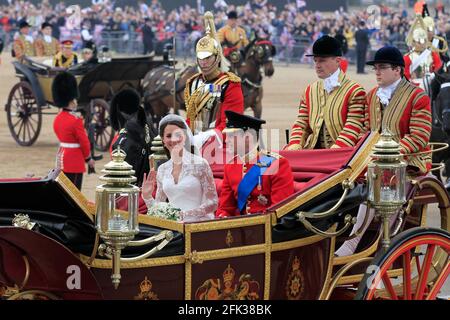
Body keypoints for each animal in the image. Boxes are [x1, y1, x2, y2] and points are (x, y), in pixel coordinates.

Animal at [142, 37, 276, 122]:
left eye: (271, 50)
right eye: (260, 51)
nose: (270, 70)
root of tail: (150, 73)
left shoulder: (257, 105)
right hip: (157, 105)